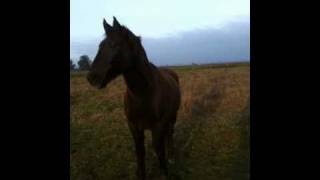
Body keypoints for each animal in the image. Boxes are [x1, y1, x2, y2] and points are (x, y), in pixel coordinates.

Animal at [86, 16, 181, 179]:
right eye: (100, 45)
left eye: (115, 45)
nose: (92, 77)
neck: (143, 94)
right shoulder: (134, 127)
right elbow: (140, 152)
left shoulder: (158, 126)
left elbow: (159, 150)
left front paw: (164, 172)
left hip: (172, 116)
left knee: (170, 133)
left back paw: (172, 157)